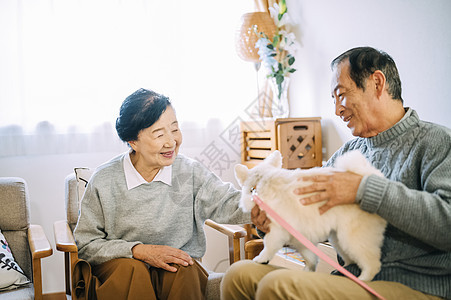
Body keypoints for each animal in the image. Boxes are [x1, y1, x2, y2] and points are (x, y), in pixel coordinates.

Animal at [235, 150, 386, 282]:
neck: (262, 183)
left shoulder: (276, 230)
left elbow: (268, 246)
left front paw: (261, 258)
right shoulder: (301, 237)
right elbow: (310, 257)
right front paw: (309, 269)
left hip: (352, 239)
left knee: (373, 264)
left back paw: (363, 279)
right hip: (338, 240)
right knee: (350, 259)